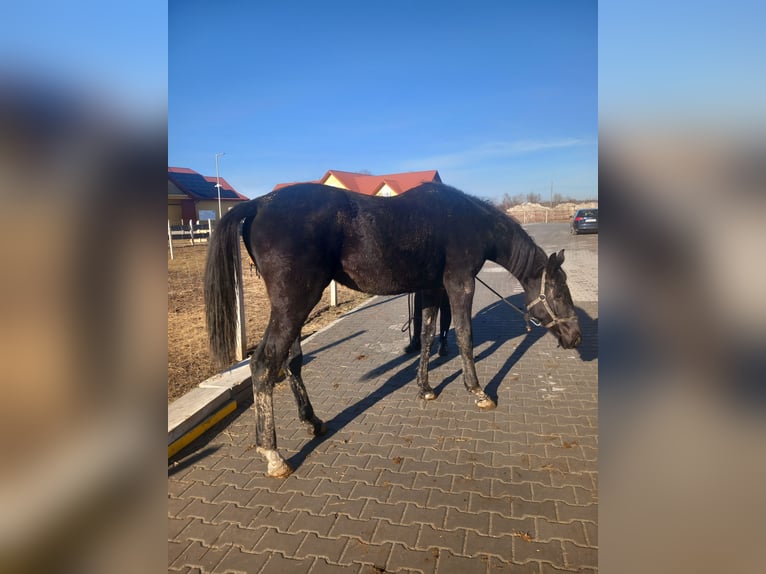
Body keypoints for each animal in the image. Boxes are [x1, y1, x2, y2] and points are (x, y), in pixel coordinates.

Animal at [204, 183, 584, 476]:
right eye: (559, 293)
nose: (576, 337)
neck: (467, 220)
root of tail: (260, 203)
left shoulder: (431, 289)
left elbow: (428, 336)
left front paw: (425, 387)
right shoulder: (459, 284)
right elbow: (464, 335)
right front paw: (477, 391)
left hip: (294, 308)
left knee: (292, 361)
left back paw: (312, 421)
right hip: (294, 304)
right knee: (264, 365)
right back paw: (273, 454)